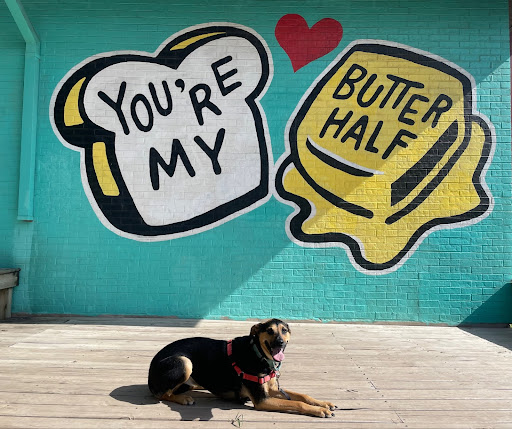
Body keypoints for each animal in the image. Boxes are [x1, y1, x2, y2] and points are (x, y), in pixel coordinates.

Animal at [147, 320, 336, 416]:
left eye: (284, 330)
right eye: (269, 330)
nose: (280, 343)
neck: (259, 354)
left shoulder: (273, 389)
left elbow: (303, 395)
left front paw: (324, 403)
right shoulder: (262, 400)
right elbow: (297, 402)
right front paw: (320, 410)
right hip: (185, 362)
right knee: (162, 394)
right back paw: (183, 398)